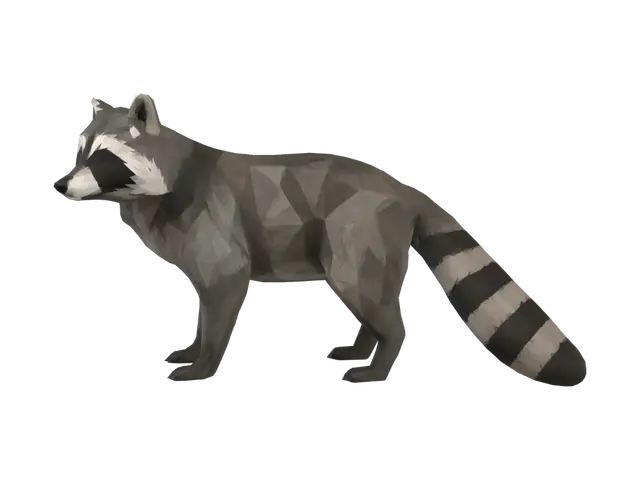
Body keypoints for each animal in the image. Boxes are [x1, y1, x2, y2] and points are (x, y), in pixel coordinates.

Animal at [53, 93, 589, 387]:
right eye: (80, 152)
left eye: (104, 158)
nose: (61, 185)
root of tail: (403, 188)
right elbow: (203, 301)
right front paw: (193, 345)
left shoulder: (215, 226)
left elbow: (224, 287)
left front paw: (203, 362)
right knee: (369, 297)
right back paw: (364, 344)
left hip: (358, 227)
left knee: (367, 295)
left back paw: (381, 358)